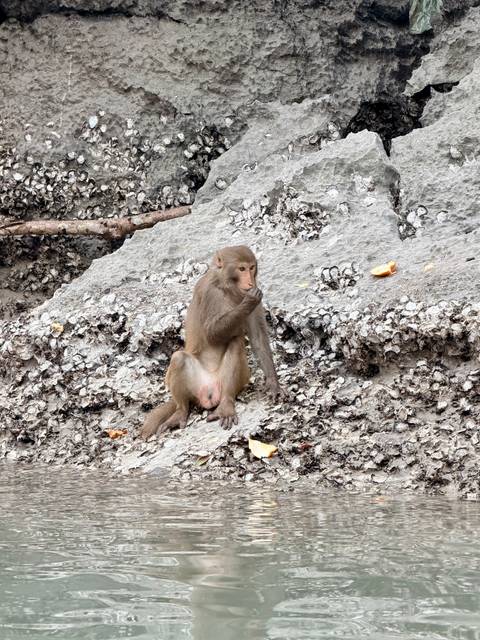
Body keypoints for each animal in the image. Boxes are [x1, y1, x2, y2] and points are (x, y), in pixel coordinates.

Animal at [140, 245, 282, 439]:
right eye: (241, 269)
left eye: (251, 267)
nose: (250, 281)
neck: (227, 286)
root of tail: (210, 391)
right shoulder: (209, 293)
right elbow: (211, 334)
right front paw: (248, 302)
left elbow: (258, 337)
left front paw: (273, 384)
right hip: (194, 388)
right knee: (179, 359)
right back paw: (181, 411)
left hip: (238, 380)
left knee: (235, 344)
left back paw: (226, 404)